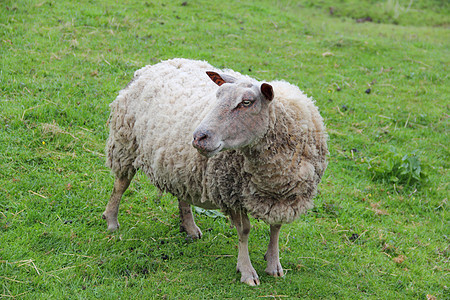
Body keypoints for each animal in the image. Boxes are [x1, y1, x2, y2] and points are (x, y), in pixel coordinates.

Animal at [103, 58, 328, 286]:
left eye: (247, 102)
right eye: (218, 96)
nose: (198, 137)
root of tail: (156, 64)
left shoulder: (283, 196)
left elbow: (276, 228)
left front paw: (274, 265)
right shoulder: (231, 193)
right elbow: (244, 230)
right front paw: (247, 272)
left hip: (179, 163)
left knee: (182, 194)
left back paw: (190, 228)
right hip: (125, 143)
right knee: (120, 185)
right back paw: (111, 221)